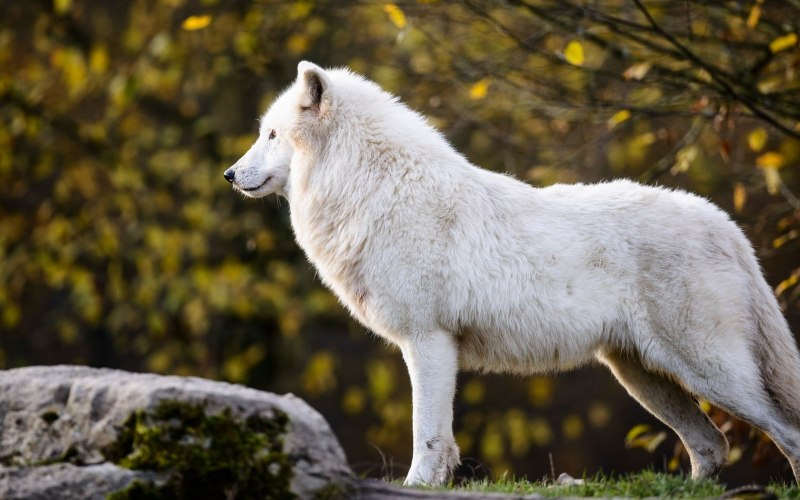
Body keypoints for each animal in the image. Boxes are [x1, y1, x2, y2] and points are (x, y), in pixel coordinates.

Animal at [224, 61, 800, 486]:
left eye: (271, 135)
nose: (229, 174)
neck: (375, 191)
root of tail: (726, 225)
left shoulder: (428, 341)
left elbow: (428, 436)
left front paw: (417, 486)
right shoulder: (431, 345)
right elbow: (441, 439)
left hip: (705, 371)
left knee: (783, 431)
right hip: (642, 376)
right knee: (712, 445)